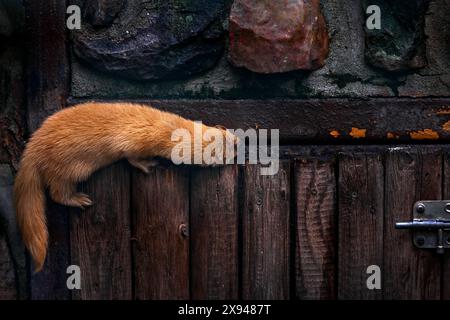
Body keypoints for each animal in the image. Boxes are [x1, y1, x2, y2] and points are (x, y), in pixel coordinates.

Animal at [13, 101, 236, 272]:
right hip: (68, 169)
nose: (239, 141)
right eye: (225, 151)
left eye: (227, 133)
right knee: (57, 192)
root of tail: (33, 146)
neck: (161, 126)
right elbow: (131, 157)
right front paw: (148, 165)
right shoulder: (131, 142)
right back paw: (78, 199)